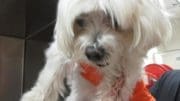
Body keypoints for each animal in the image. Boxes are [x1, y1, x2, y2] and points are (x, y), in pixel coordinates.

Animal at [20, 0, 172, 101]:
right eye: (80, 21)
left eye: (114, 20)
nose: (93, 53)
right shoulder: (61, 50)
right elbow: (50, 75)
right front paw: (34, 97)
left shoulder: (124, 73)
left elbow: (114, 85)